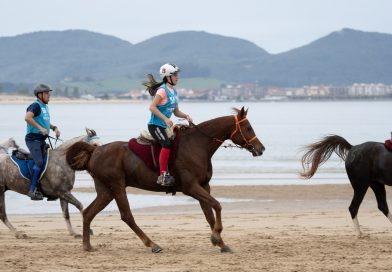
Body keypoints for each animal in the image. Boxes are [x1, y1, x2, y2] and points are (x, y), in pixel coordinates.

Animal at [66, 107, 264, 253]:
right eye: (248, 128)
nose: (261, 148)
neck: (197, 145)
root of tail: (95, 150)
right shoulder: (191, 187)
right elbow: (218, 205)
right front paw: (216, 238)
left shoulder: (203, 186)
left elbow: (210, 215)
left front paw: (221, 244)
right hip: (117, 186)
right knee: (127, 216)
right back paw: (153, 245)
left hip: (106, 190)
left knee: (88, 213)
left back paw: (87, 246)